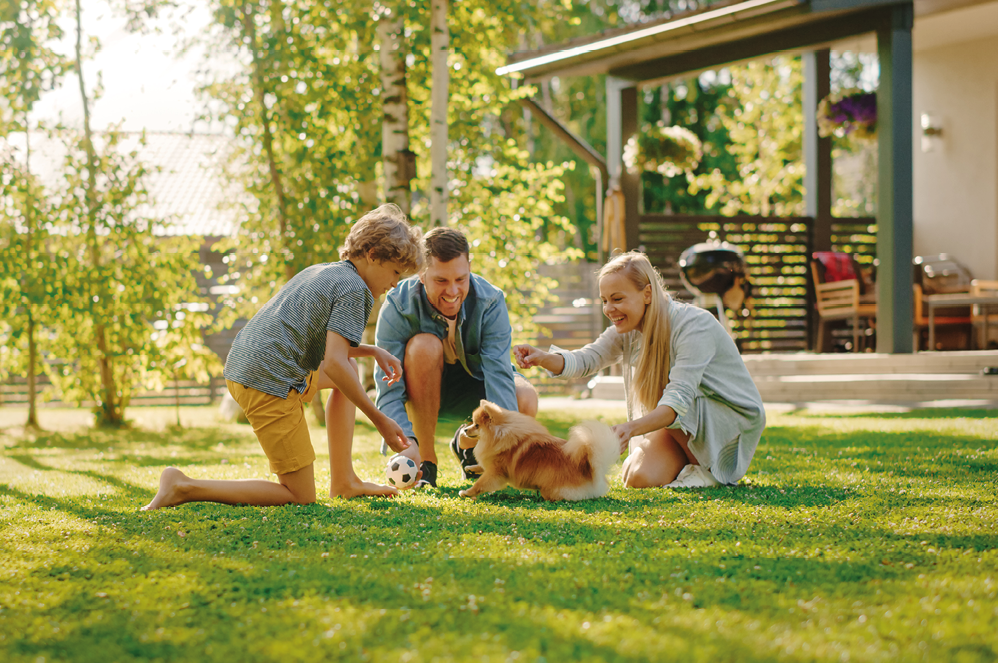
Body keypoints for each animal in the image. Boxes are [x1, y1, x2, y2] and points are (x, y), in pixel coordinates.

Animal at [459, 397, 618, 498]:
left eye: (476, 425)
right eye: (473, 423)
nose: (465, 430)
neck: (499, 435)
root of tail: (590, 471)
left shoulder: (496, 472)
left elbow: (481, 483)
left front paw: (467, 492)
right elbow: (481, 467)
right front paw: (470, 468)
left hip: (551, 489)